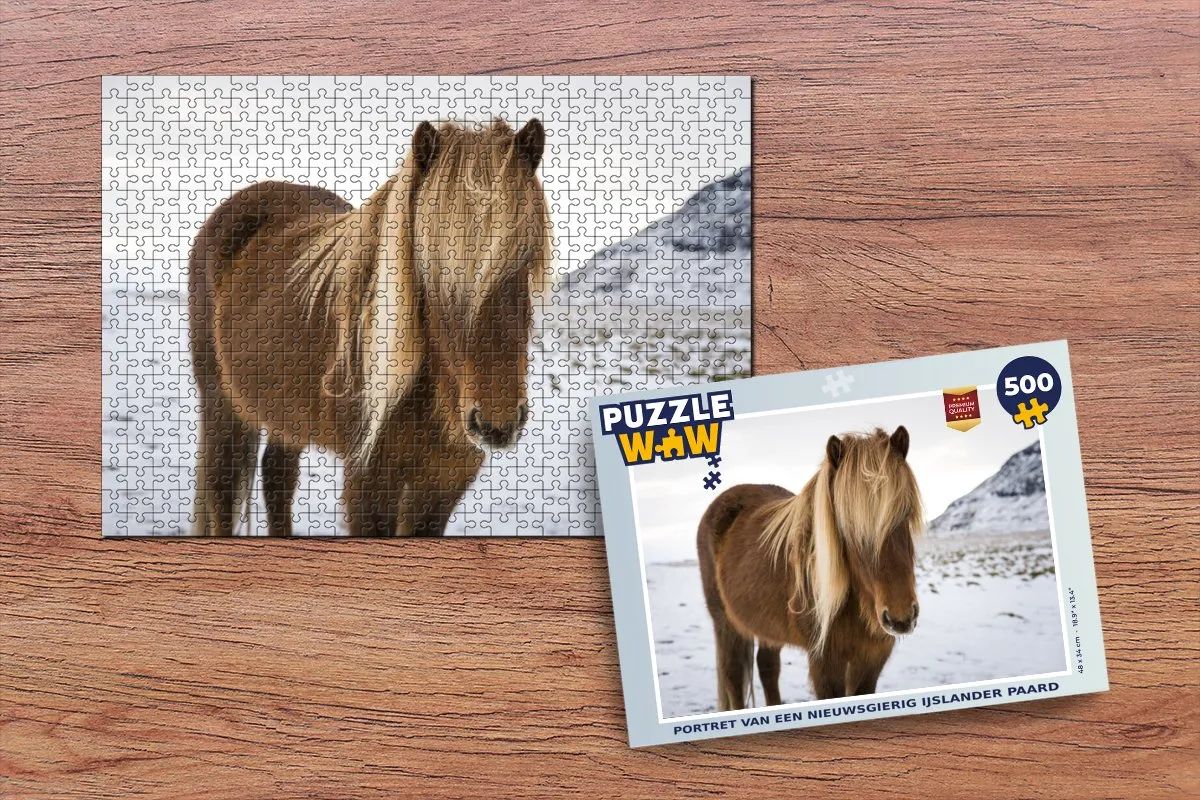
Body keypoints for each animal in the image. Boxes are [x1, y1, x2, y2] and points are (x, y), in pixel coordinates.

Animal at [188, 118, 551, 537]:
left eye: (524, 261)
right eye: (428, 270)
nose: (497, 422)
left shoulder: (443, 483)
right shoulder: (369, 483)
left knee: (277, 477)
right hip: (221, 405)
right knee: (222, 490)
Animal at [697, 427, 922, 710]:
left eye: (905, 512)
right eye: (845, 525)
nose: (900, 618)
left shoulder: (872, 659)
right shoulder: (825, 663)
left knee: (767, 667)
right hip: (726, 625)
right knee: (733, 675)